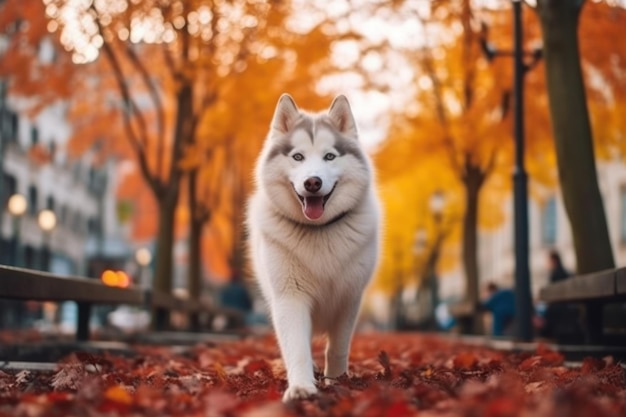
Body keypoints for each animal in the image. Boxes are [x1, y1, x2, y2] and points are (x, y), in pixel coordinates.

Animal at [246, 93, 378, 400]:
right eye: (298, 157)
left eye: (329, 156)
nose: (312, 182)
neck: (319, 231)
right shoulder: (290, 297)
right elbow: (296, 348)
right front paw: (301, 387)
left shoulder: (349, 298)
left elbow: (338, 348)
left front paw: (337, 381)